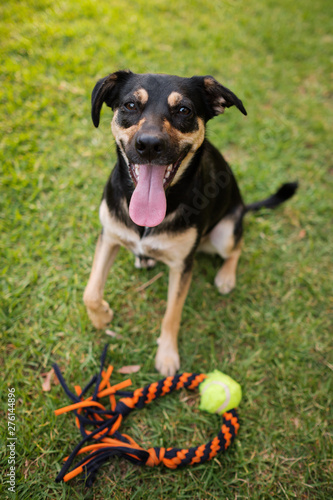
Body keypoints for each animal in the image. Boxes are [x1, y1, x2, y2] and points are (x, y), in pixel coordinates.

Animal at [82, 70, 296, 376]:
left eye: (184, 110)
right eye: (130, 106)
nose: (149, 145)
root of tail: (242, 206)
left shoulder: (183, 264)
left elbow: (172, 314)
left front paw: (167, 356)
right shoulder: (109, 235)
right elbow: (90, 292)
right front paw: (101, 318)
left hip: (225, 233)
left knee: (237, 246)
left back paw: (226, 277)